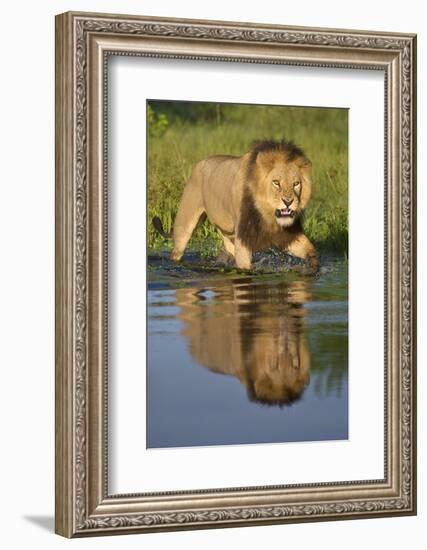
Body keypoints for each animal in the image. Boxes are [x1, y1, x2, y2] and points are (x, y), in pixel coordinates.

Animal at [153, 140, 318, 274]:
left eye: (296, 184)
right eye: (276, 182)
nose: (288, 201)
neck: (267, 214)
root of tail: (200, 162)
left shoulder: (287, 235)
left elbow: (312, 251)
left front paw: (312, 269)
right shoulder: (243, 237)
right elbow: (245, 268)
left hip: (225, 231)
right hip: (184, 225)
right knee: (177, 251)